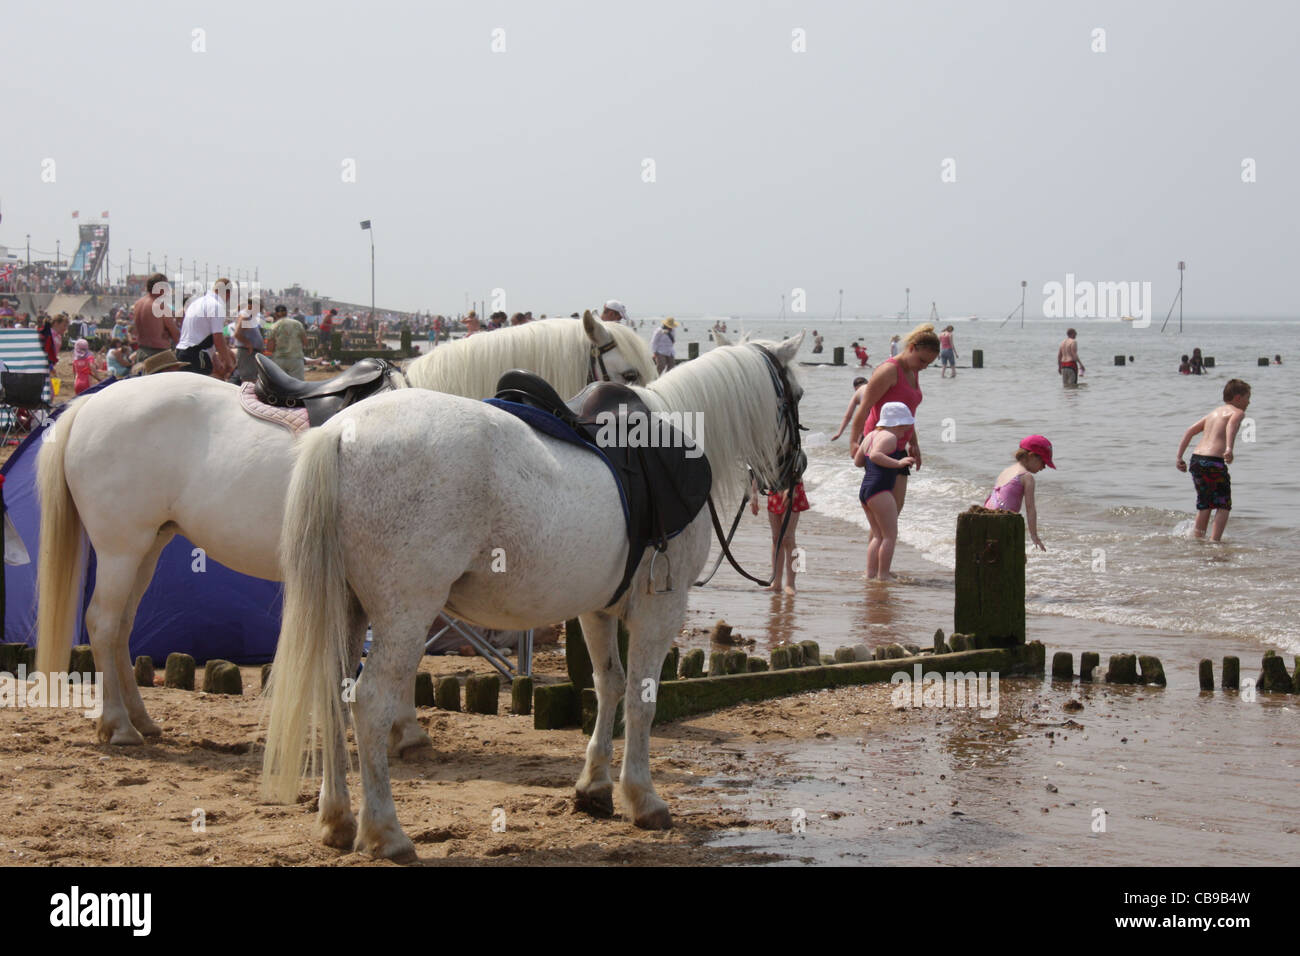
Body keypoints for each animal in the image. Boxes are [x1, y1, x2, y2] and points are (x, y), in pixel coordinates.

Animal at [35, 314, 655, 749]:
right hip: (122, 545)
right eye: (626, 377)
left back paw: (140, 719)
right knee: (103, 622)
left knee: (120, 627)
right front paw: (402, 728)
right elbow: (399, 650)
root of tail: (87, 408)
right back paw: (119, 726)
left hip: (149, 543)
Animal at [261, 335, 800, 858]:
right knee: (370, 702)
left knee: (332, 694)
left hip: (348, 610)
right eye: (795, 395)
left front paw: (595, 788)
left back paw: (337, 820)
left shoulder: (597, 610)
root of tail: (340, 432)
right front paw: (642, 798)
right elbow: (642, 698)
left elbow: (609, 685)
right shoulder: (659, 610)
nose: (795, 473)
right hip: (405, 615)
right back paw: (385, 832)